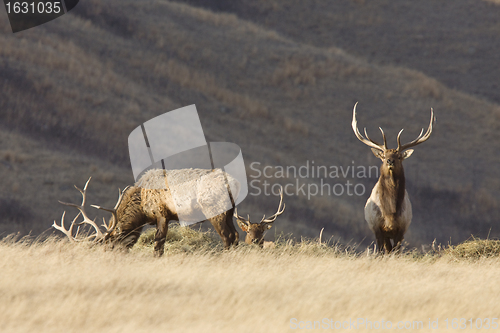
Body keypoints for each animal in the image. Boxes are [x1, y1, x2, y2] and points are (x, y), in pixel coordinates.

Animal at [53, 167, 242, 255]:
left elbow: (158, 246)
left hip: (215, 210)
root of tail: (235, 183)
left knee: (227, 236)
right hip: (230, 213)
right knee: (235, 235)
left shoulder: (162, 214)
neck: (141, 207)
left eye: (111, 245)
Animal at [352, 102, 434, 253]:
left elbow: (396, 251)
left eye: (399, 156)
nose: (390, 161)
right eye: (384, 156)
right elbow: (380, 251)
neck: (390, 213)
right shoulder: (377, 227)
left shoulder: (402, 228)